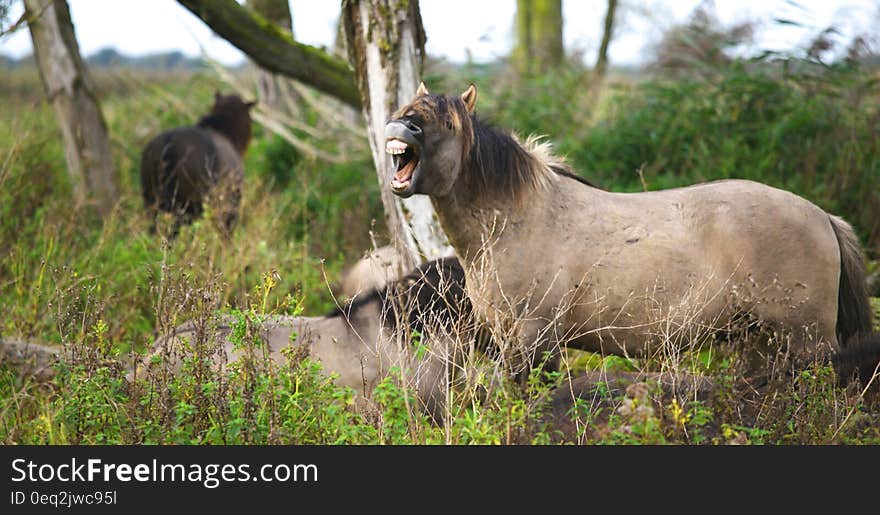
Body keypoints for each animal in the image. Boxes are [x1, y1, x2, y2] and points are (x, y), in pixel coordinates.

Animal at [386, 82, 880, 384]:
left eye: (448, 123)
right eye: (406, 111)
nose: (400, 126)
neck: (516, 221)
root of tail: (823, 217)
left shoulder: (534, 342)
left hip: (806, 342)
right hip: (761, 342)